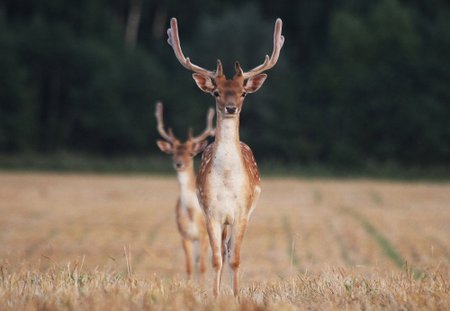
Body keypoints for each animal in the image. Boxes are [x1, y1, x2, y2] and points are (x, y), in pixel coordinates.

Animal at [155, 102, 214, 280]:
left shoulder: (203, 235)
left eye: (191, 153)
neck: (191, 212)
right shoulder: (184, 235)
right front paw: (188, 285)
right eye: (172, 153)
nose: (179, 164)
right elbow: (188, 266)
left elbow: (202, 267)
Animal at [167, 18, 284, 296]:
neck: (228, 181)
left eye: (243, 92)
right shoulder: (211, 212)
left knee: (231, 249)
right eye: (216, 92)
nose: (231, 108)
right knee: (221, 248)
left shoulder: (241, 212)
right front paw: (216, 295)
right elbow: (216, 258)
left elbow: (235, 258)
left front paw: (236, 295)